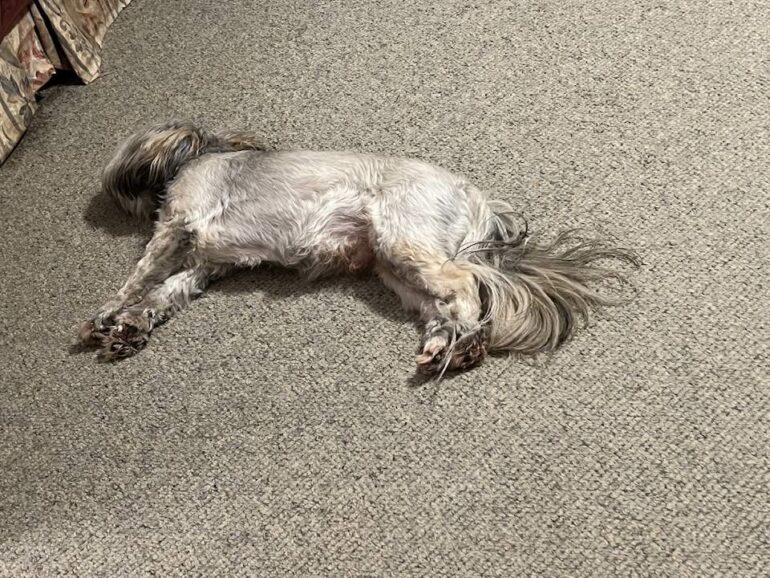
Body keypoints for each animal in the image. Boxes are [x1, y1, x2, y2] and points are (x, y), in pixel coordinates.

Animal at [76, 119, 636, 376]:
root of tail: (478, 199)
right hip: (396, 268)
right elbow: (161, 294)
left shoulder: (178, 226)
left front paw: (106, 315)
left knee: (465, 288)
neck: (200, 155)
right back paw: (443, 346)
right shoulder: (202, 266)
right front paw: (130, 329)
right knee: (441, 307)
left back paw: (465, 343)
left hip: (405, 241)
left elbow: (140, 277)